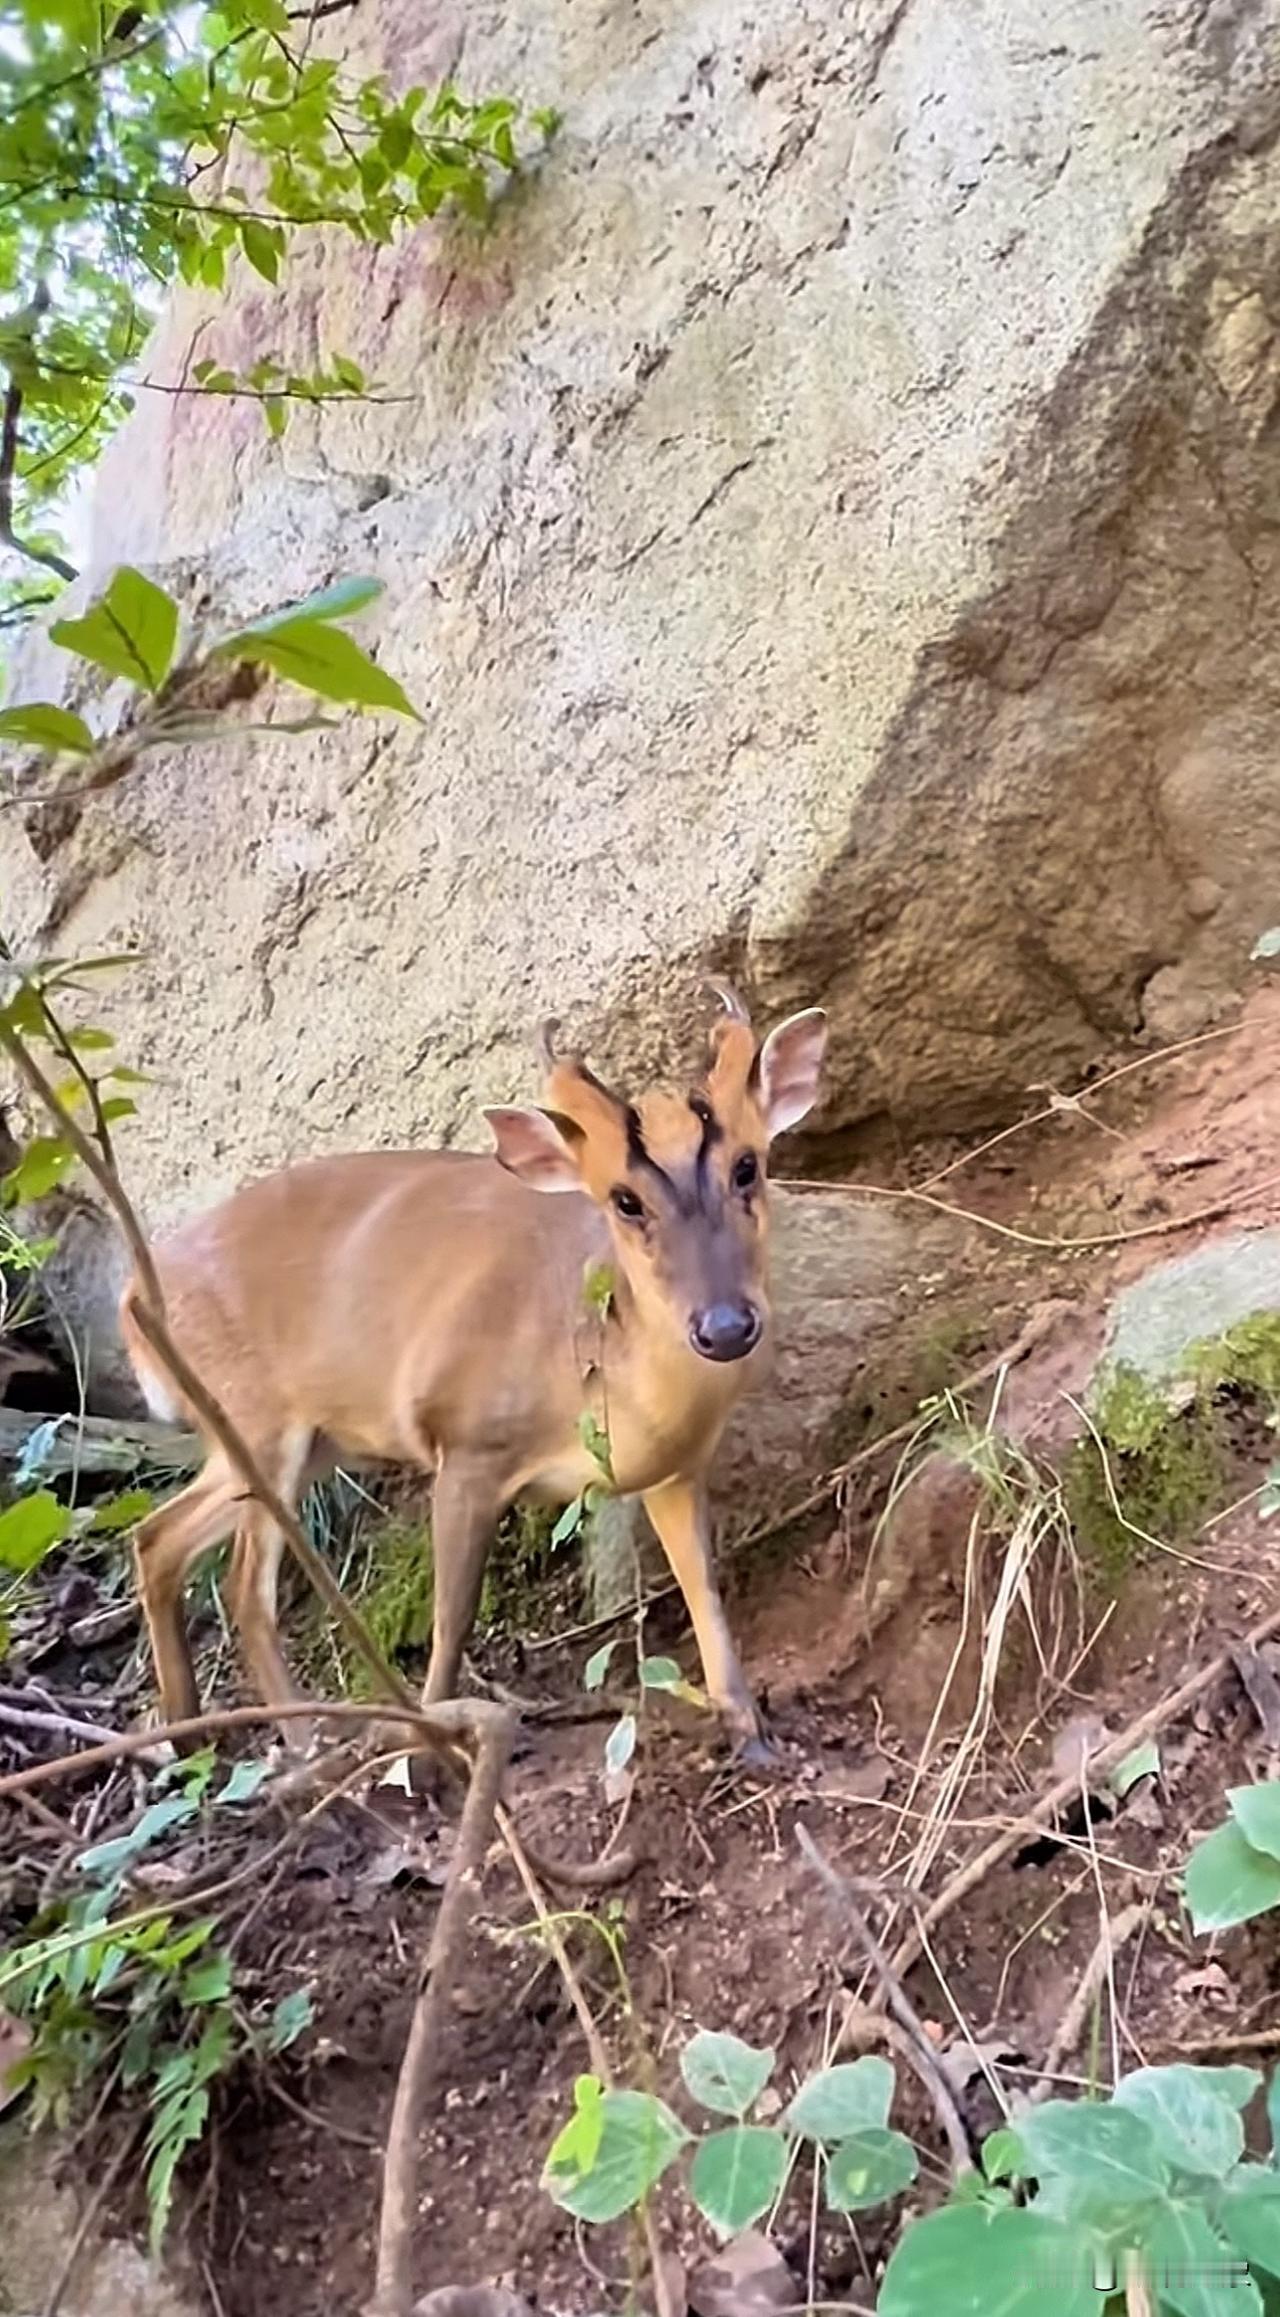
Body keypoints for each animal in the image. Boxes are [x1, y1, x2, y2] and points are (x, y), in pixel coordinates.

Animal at [119, 984, 827, 1767]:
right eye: (624, 1199)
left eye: (747, 1166)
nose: (726, 1327)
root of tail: (133, 1300)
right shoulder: (464, 1442)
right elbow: (451, 1618)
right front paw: (433, 1750)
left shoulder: (674, 1469)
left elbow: (704, 1588)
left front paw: (750, 1730)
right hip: (257, 1423)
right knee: (245, 1583)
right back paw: (303, 1738)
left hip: (295, 1441)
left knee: (156, 1536)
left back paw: (182, 1731)